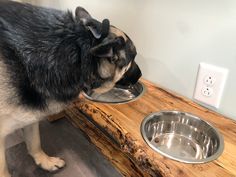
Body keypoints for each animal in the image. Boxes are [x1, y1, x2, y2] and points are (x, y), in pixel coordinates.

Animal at [0, 0, 141, 176]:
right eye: (134, 57)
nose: (141, 75)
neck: (77, 52)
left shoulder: (30, 115)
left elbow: (34, 141)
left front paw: (45, 161)